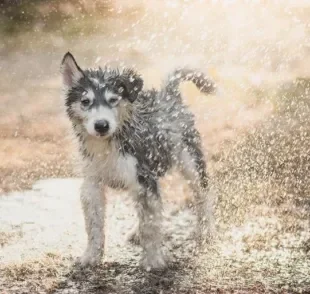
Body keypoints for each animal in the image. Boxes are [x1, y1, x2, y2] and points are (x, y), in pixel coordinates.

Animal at [60, 51, 216, 270]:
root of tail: (169, 95)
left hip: (190, 162)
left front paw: (153, 260)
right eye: (85, 101)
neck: (109, 145)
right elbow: (94, 225)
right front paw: (91, 256)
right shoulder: (92, 184)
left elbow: (150, 226)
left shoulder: (143, 178)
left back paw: (207, 230)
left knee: (202, 196)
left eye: (113, 100)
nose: (101, 125)